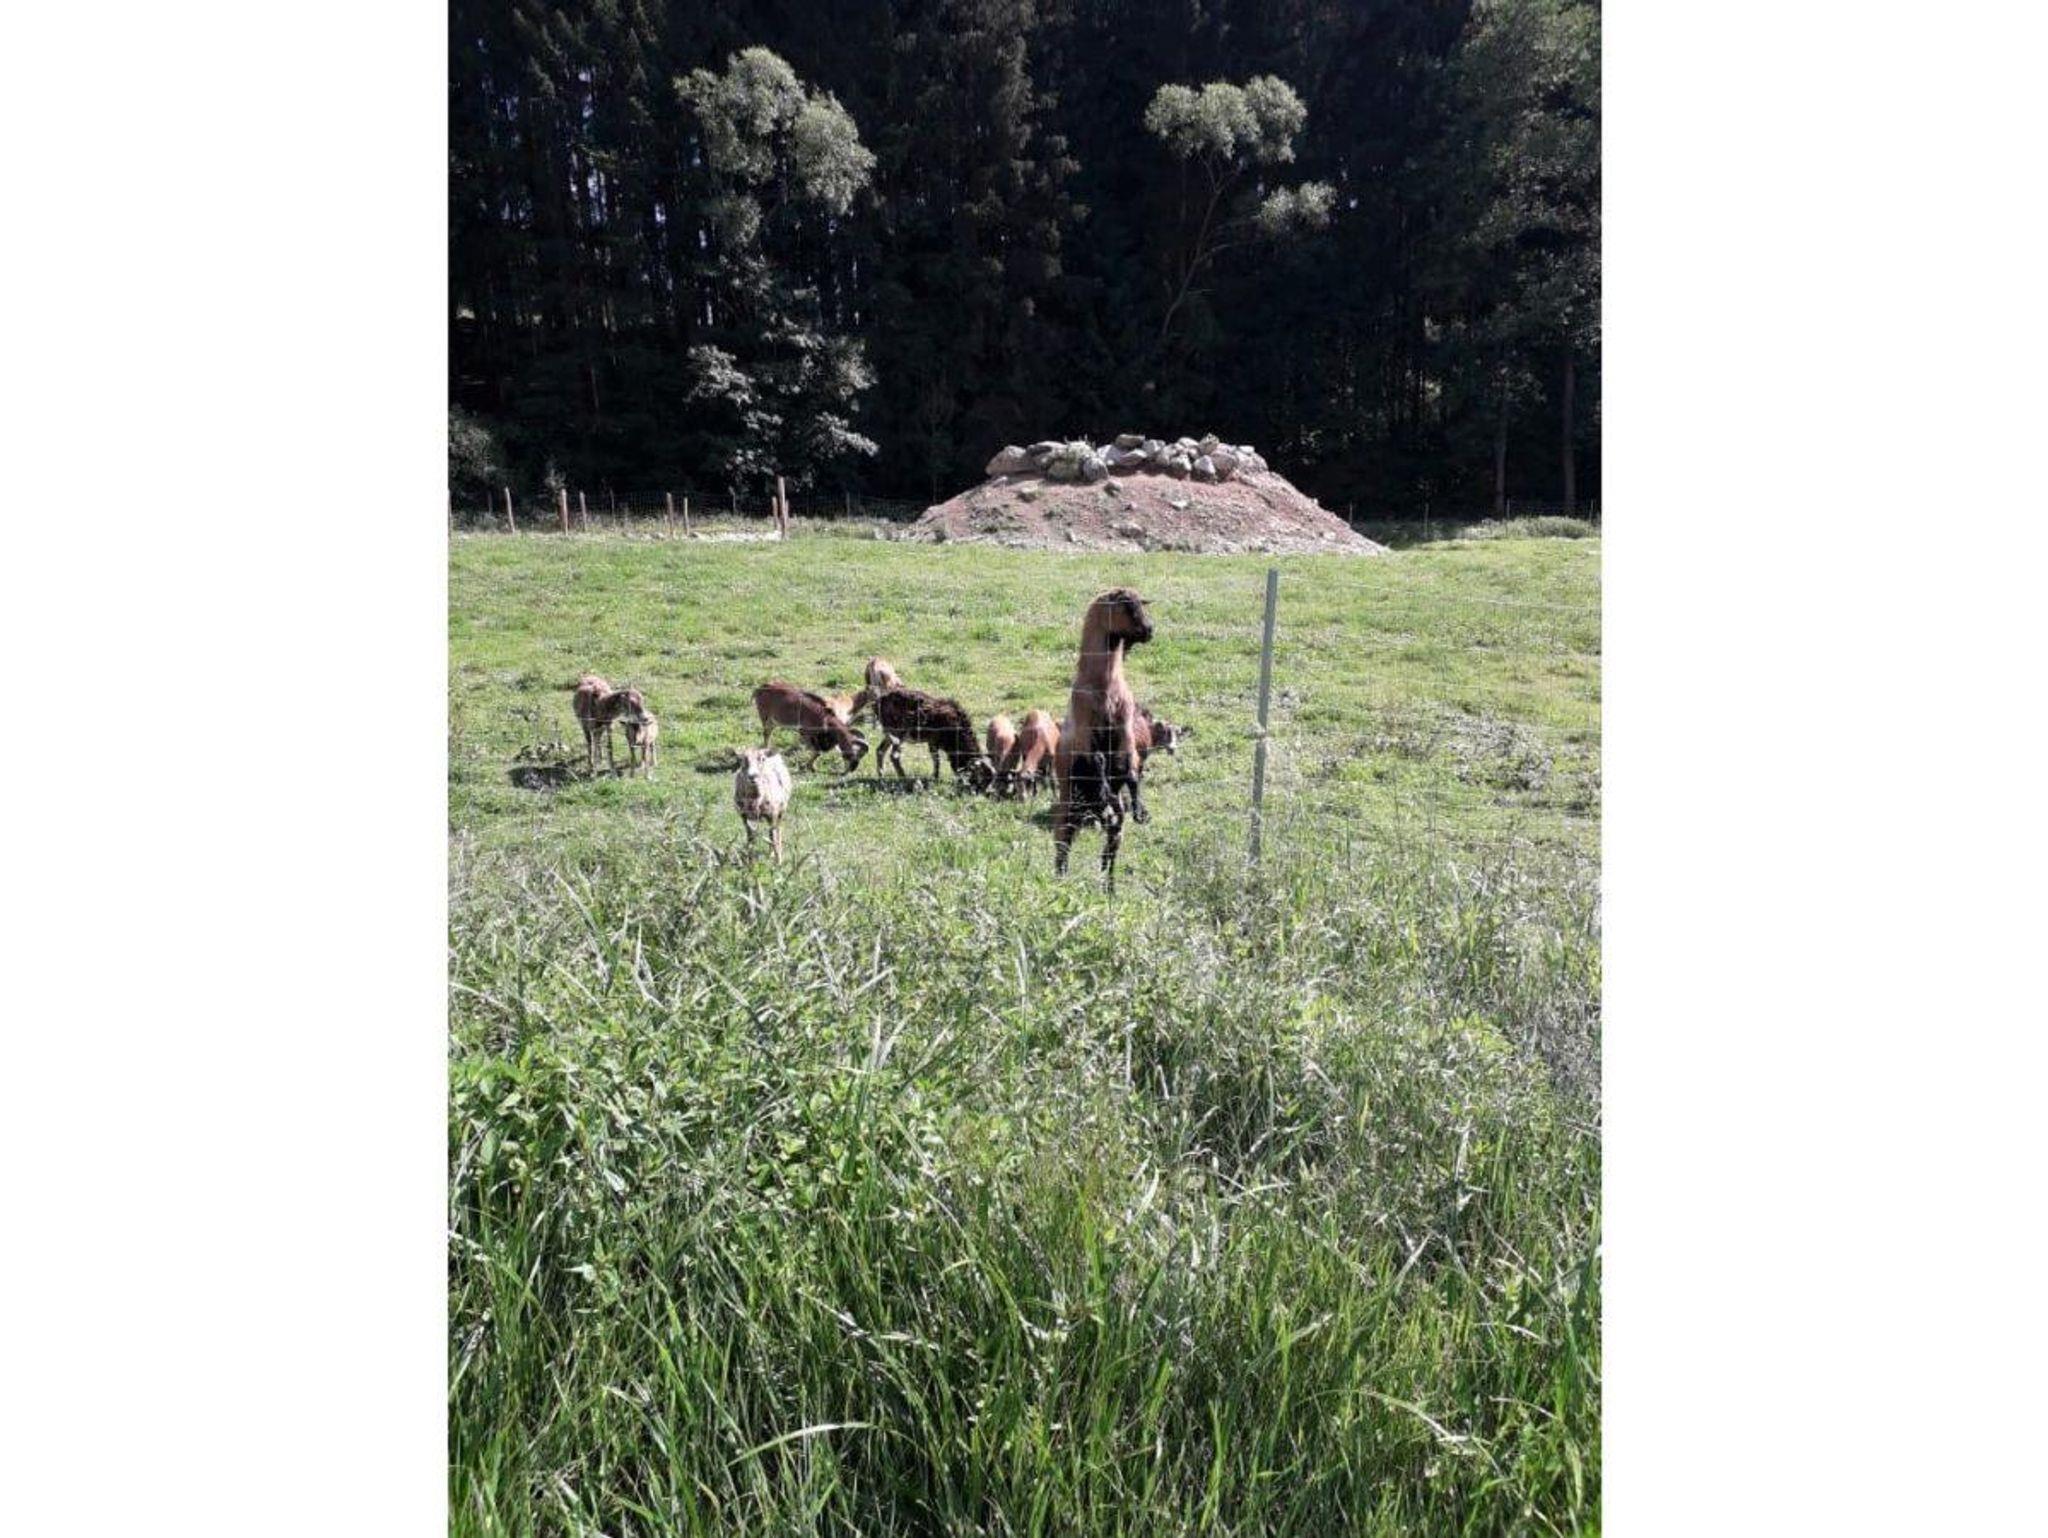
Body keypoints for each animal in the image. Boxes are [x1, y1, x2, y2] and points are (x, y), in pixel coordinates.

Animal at [1053, 588, 1155, 888]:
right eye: (1127, 607)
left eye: (1140, 605)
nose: (1149, 630)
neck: (1105, 686)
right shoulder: (1086, 734)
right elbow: (1098, 759)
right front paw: (1105, 790)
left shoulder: (1124, 732)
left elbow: (1131, 770)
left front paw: (1141, 810)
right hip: (1069, 810)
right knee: (1063, 846)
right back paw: (1060, 879)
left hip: (1108, 817)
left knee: (1110, 846)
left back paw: (1108, 888)